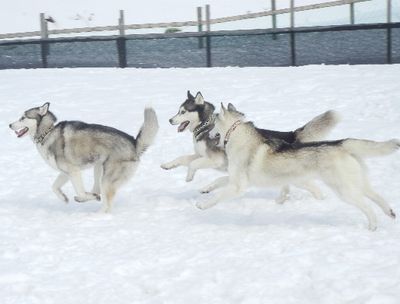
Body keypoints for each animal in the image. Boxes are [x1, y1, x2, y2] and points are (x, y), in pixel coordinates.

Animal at [9, 102, 158, 211]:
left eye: (23, 118)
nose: (9, 125)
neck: (48, 132)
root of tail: (134, 143)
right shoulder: (65, 172)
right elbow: (54, 187)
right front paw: (64, 198)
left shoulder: (74, 171)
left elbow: (80, 191)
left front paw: (86, 197)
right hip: (99, 169)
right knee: (98, 191)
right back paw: (90, 197)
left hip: (107, 179)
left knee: (106, 206)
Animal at [161, 91, 340, 202]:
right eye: (178, 111)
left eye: (183, 112)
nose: (169, 120)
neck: (205, 126)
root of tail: (291, 135)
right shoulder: (203, 156)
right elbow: (184, 158)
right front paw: (168, 165)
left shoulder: (215, 160)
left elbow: (193, 163)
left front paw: (189, 177)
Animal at [198, 103, 398, 229]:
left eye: (213, 123)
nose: (207, 133)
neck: (236, 135)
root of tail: (341, 144)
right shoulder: (235, 178)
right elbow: (218, 180)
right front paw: (205, 188)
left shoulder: (238, 186)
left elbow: (218, 196)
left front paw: (202, 205)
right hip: (357, 182)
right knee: (376, 196)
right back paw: (390, 212)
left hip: (344, 190)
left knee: (367, 206)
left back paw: (373, 226)